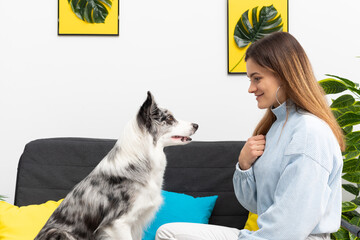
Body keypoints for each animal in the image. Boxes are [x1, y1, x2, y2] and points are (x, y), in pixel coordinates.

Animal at [35, 91, 198, 239]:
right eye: (170, 118)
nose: (196, 125)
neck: (140, 161)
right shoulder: (118, 223)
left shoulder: (136, 223)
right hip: (58, 232)